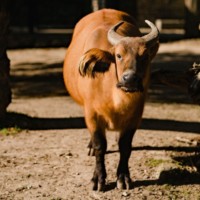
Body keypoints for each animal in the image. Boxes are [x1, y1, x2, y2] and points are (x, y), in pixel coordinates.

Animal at [62, 9, 159, 191]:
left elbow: (125, 146)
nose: (130, 79)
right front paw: (98, 178)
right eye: (118, 55)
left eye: (144, 56)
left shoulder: (135, 116)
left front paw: (123, 177)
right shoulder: (92, 115)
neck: (115, 99)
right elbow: (100, 146)